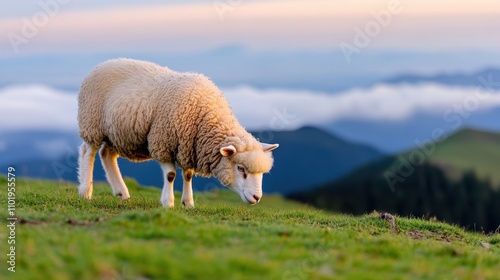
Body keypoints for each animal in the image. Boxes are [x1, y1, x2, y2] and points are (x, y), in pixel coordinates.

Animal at [79, 58, 282, 208]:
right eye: (241, 169)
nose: (256, 198)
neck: (204, 116)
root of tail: (103, 63)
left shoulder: (188, 147)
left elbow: (188, 175)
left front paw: (188, 203)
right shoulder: (163, 142)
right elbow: (170, 175)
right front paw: (168, 203)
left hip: (118, 133)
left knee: (107, 154)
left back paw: (122, 192)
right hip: (92, 123)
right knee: (88, 152)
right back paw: (85, 191)